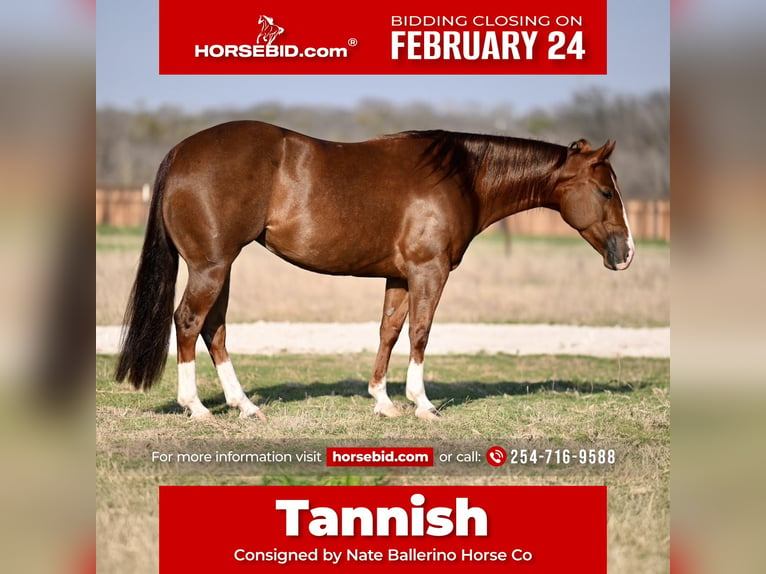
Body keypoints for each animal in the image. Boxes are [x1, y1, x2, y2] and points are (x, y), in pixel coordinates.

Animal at [117, 122, 636, 424]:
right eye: (606, 192)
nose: (626, 254)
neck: (461, 176)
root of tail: (182, 151)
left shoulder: (400, 277)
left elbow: (389, 330)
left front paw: (383, 400)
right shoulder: (429, 272)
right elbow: (421, 333)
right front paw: (422, 403)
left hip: (221, 267)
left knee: (214, 329)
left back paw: (243, 406)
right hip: (211, 266)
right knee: (189, 322)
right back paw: (197, 408)